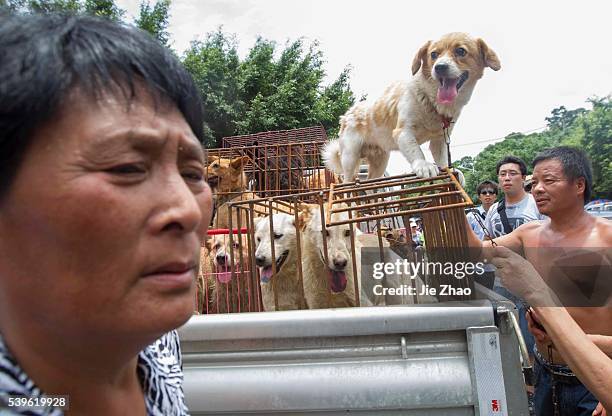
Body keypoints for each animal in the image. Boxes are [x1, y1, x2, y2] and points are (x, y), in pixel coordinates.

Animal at [322, 31, 500, 181]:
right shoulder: (403, 132)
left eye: (461, 51)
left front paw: (450, 171)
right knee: (348, 181)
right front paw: (424, 165)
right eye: (433, 54)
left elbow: (442, 160)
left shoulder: (440, 140)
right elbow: (416, 151)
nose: (440, 67)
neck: (431, 99)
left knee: (371, 183)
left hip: (380, 161)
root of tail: (347, 114)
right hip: (350, 157)